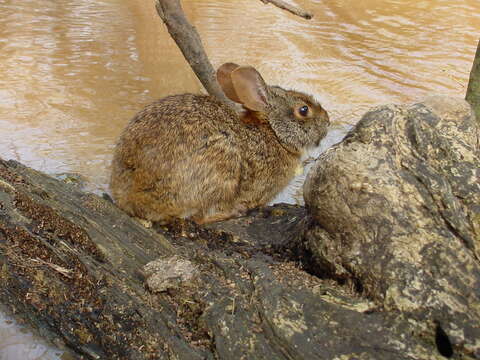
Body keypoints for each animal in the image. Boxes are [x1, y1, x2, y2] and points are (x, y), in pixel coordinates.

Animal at [111, 63, 330, 224]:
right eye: (303, 110)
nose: (327, 121)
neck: (273, 133)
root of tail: (132, 196)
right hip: (221, 169)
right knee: (199, 217)